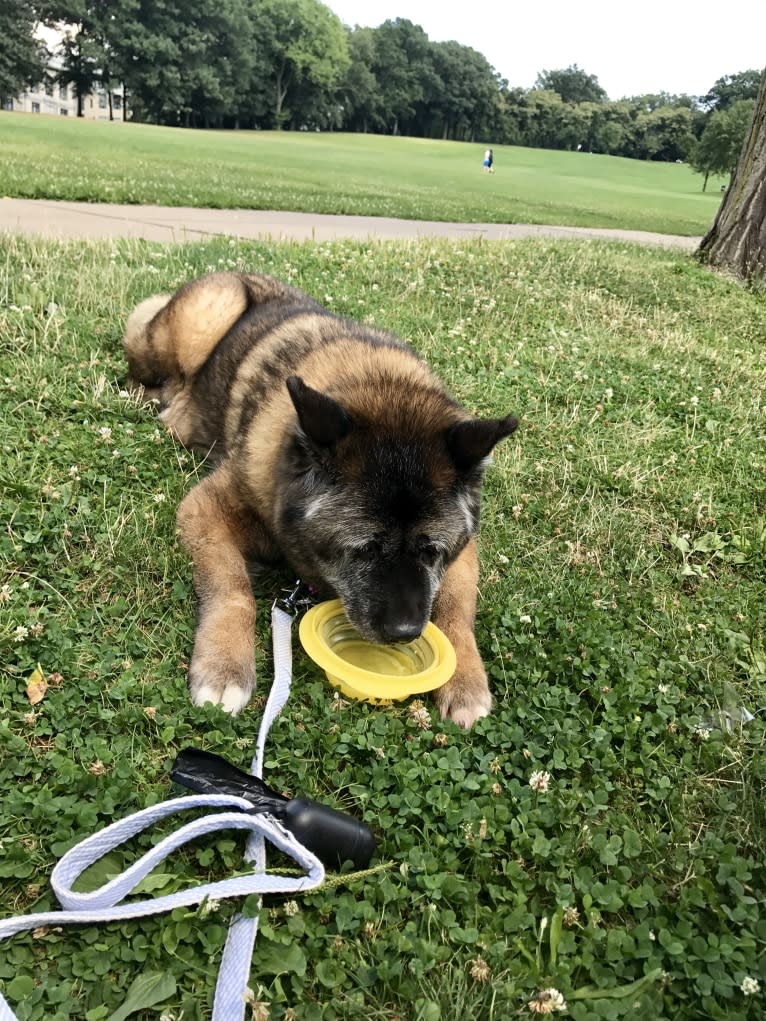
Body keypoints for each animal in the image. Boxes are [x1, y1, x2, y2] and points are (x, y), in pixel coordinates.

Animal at [124, 271, 516, 726]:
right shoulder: (205, 510)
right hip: (210, 313)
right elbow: (232, 588)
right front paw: (225, 665)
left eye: (432, 551)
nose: (405, 634)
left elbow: (455, 609)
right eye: (363, 549)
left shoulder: (463, 553)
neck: (373, 381)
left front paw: (465, 679)